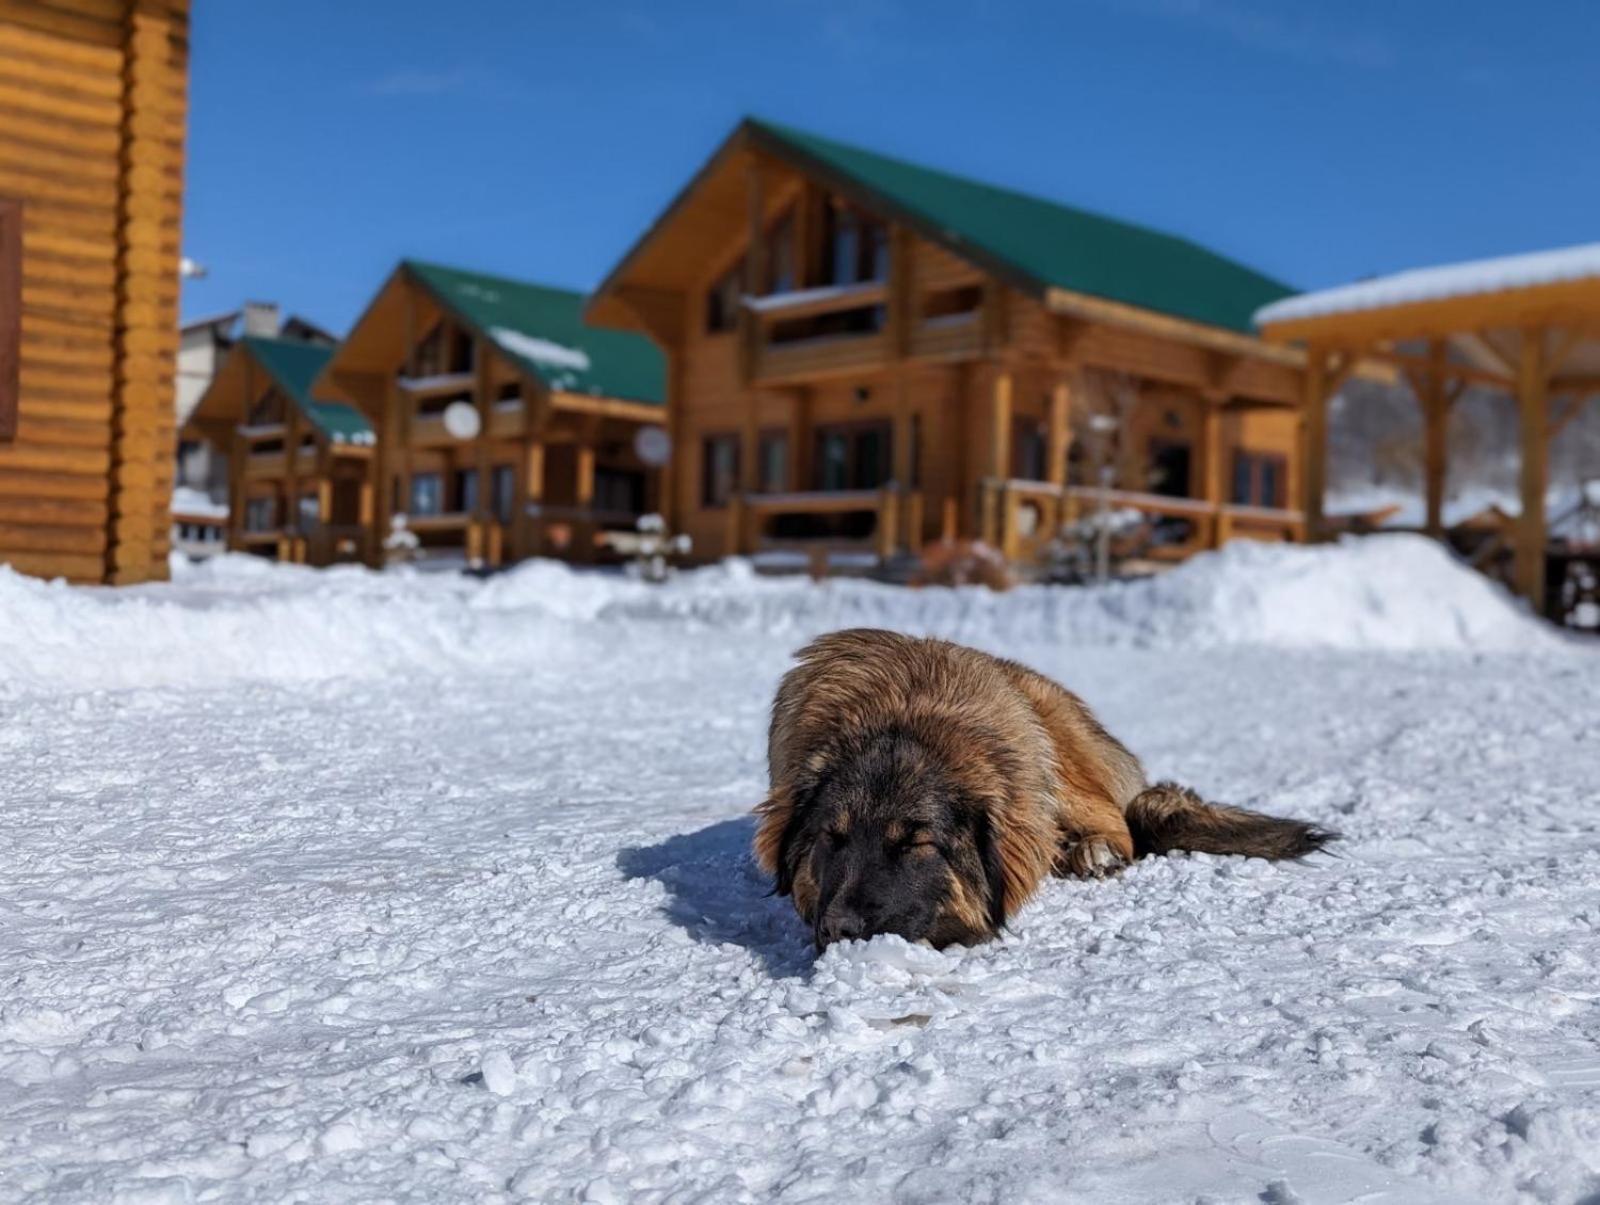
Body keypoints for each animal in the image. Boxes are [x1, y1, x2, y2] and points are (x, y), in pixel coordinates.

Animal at [755, 630, 1331, 947]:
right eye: (832, 839)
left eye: (917, 845)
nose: (841, 928)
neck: (903, 714)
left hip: (1057, 748)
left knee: (1118, 823)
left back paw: (1094, 852)